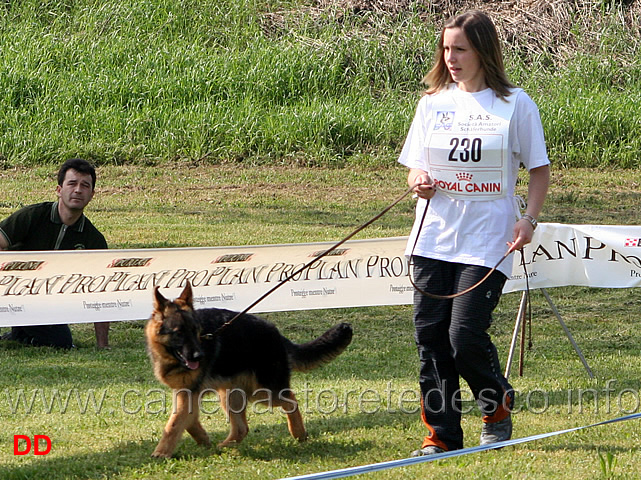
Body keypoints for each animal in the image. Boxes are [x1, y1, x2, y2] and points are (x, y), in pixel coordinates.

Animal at [145, 282, 352, 458]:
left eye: (196, 330)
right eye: (179, 332)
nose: (199, 356)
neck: (170, 356)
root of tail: (276, 333)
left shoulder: (189, 393)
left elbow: (174, 424)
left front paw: (161, 453)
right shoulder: (185, 393)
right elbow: (186, 421)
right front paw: (203, 440)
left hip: (263, 392)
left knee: (291, 400)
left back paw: (299, 433)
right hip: (230, 394)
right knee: (241, 428)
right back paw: (225, 446)